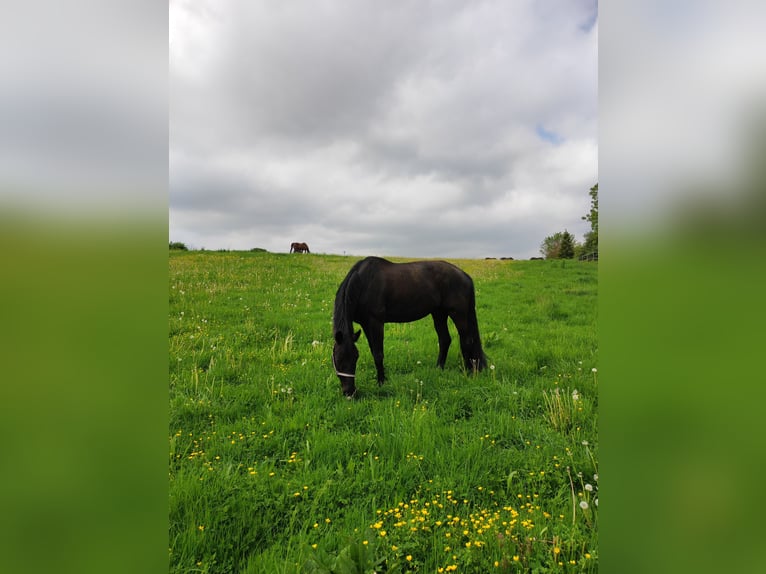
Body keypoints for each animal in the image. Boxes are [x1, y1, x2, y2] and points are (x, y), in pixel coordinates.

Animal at [332, 256, 487, 398]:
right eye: (338, 359)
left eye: (355, 358)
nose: (349, 393)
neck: (363, 283)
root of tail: (464, 276)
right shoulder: (365, 324)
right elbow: (373, 351)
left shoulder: (375, 322)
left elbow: (378, 354)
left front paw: (381, 382)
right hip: (439, 313)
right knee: (445, 340)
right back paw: (439, 368)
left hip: (458, 314)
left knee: (467, 340)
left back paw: (469, 372)